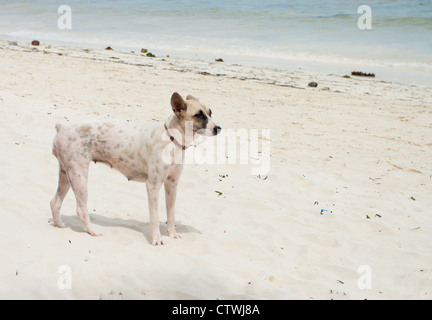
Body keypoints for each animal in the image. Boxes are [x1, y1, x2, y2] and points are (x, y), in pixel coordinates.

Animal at [49, 92, 221, 245]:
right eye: (199, 115)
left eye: (210, 112)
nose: (218, 128)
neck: (171, 139)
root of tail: (62, 128)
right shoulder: (153, 186)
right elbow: (155, 217)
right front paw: (157, 239)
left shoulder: (172, 184)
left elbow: (171, 214)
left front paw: (172, 234)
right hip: (79, 175)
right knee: (81, 209)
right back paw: (93, 232)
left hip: (66, 173)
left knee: (54, 202)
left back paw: (59, 225)